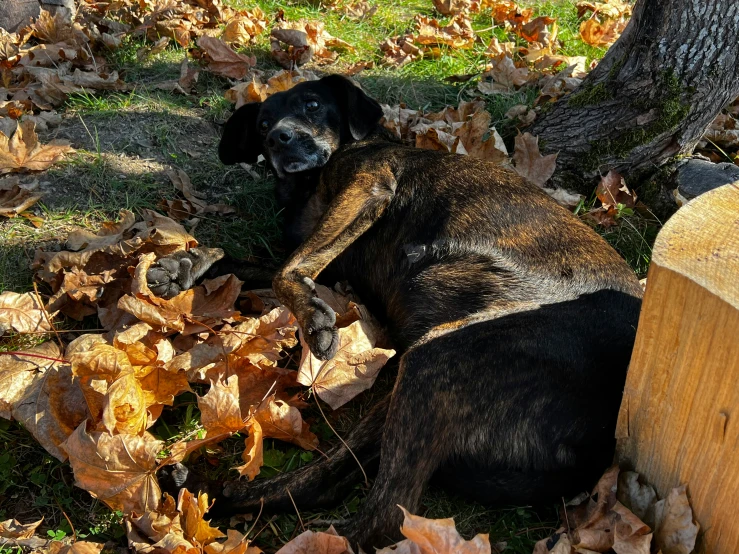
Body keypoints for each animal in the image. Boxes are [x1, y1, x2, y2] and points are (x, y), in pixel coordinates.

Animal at [152, 74, 648, 548]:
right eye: (261, 124)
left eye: (312, 104)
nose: (280, 138)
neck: (309, 183)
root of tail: (597, 447)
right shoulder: (332, 265)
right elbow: (247, 260)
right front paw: (182, 267)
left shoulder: (367, 187)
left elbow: (285, 270)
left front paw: (314, 319)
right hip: (413, 385)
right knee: (332, 481)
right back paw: (209, 490)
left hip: (437, 358)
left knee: (385, 518)